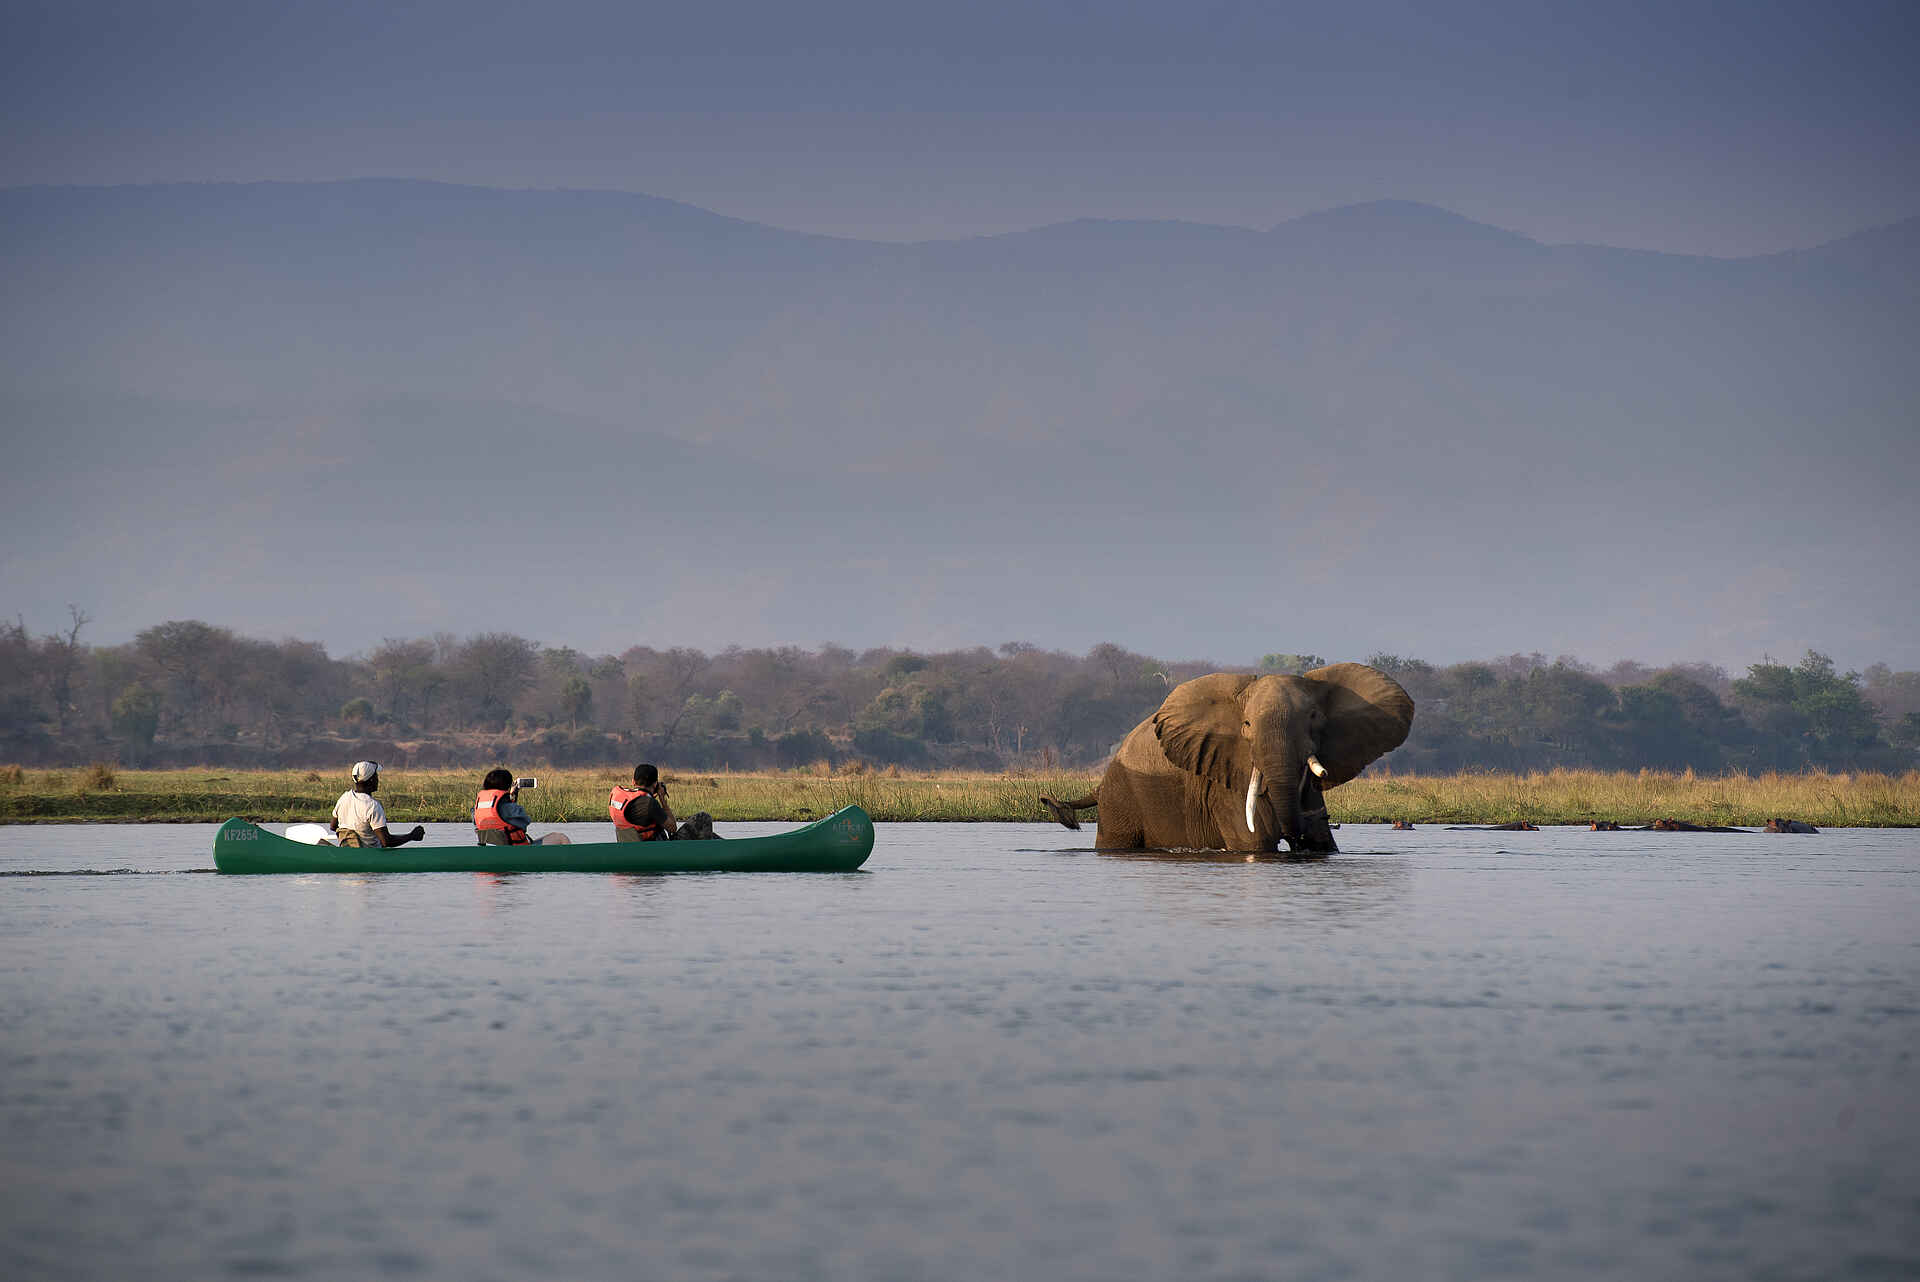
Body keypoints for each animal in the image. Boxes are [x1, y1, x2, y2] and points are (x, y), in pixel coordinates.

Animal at [1038, 663, 1414, 854]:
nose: (1298, 836)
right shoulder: (1224, 780)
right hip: (1122, 796)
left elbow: (1326, 846)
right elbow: (1255, 842)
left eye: (1313, 718)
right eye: (1246, 725)